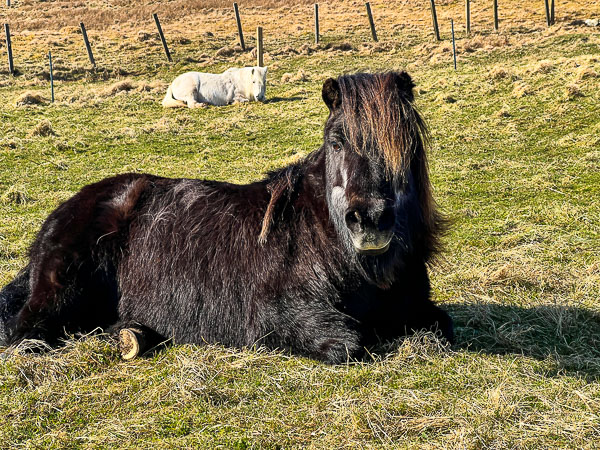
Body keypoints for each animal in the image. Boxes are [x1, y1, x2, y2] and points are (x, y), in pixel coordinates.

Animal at [0, 73, 452, 362]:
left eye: (404, 142)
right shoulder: (278, 313)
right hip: (59, 285)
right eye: (337, 142)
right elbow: (350, 343)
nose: (370, 220)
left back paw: (135, 334)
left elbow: (441, 325)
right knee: (25, 330)